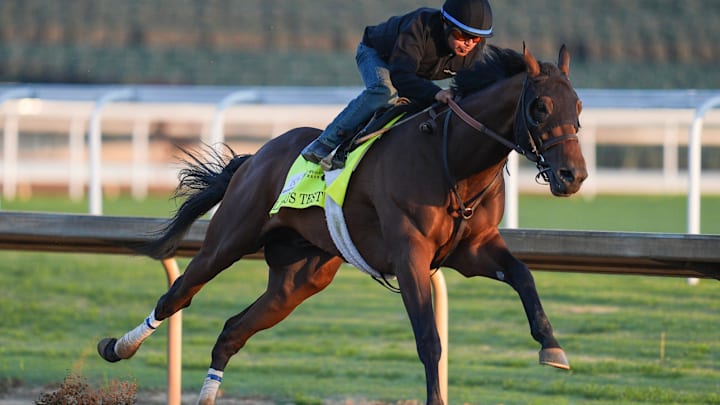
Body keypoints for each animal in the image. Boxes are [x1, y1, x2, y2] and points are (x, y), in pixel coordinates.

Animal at [98, 44, 587, 405]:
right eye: (540, 107)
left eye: (579, 106)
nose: (573, 176)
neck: (452, 159)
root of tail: (255, 158)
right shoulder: (410, 256)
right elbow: (429, 340)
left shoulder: (474, 248)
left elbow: (523, 275)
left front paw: (552, 346)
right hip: (230, 239)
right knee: (178, 295)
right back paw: (118, 346)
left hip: (300, 278)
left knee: (233, 330)